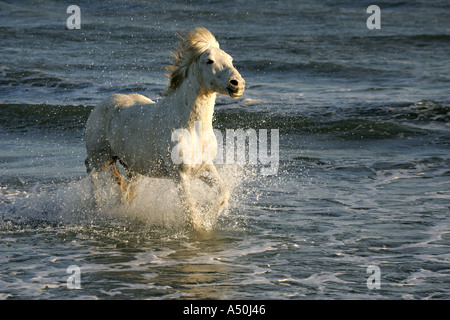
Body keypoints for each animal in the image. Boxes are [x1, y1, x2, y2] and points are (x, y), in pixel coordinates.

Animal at [84, 26, 246, 228]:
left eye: (230, 59)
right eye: (209, 60)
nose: (237, 84)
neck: (191, 129)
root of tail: (101, 104)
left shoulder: (204, 167)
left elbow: (222, 194)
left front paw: (210, 215)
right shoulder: (180, 176)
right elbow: (192, 214)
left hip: (132, 167)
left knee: (124, 186)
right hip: (101, 157)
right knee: (91, 172)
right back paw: (98, 206)